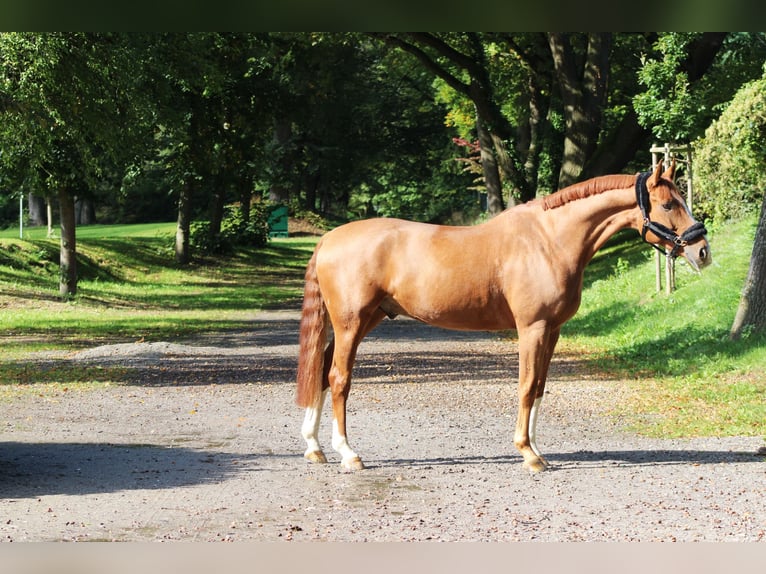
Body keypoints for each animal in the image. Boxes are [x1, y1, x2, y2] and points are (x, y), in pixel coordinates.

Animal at [296, 162, 712, 472]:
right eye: (668, 204)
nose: (703, 251)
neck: (550, 241)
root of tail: (330, 238)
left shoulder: (553, 330)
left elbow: (540, 387)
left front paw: (537, 449)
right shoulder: (532, 328)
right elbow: (526, 385)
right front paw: (528, 454)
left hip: (369, 319)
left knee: (321, 369)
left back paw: (315, 447)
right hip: (351, 323)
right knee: (338, 378)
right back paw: (348, 454)